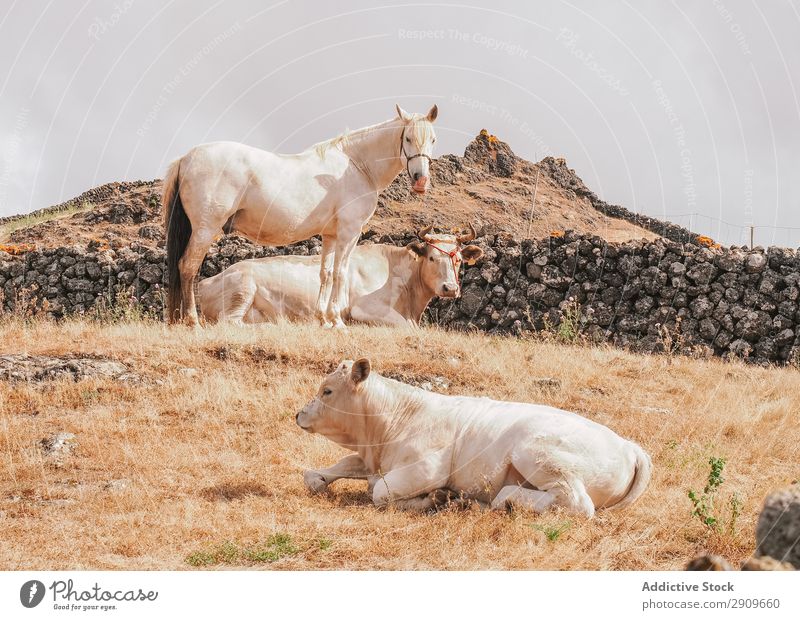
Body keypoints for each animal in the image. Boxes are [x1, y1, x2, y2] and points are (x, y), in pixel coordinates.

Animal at [162, 105, 438, 330]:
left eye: (433, 139)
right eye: (408, 138)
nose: (420, 180)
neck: (356, 165)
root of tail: (186, 158)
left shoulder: (330, 235)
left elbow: (325, 273)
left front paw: (323, 319)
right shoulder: (349, 232)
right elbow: (340, 273)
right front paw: (337, 321)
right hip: (205, 229)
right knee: (188, 267)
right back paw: (192, 321)